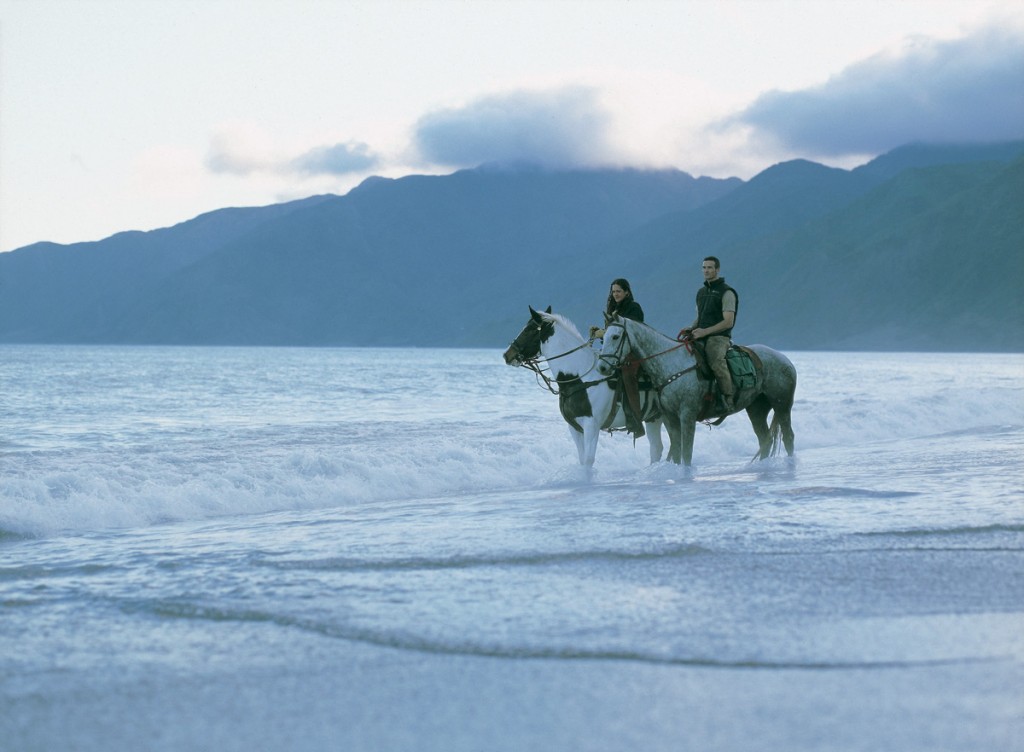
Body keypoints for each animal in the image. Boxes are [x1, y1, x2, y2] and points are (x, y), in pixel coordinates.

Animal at [503, 307, 663, 465]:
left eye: (528, 330)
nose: (507, 355)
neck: (579, 377)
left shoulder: (591, 426)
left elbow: (588, 460)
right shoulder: (575, 427)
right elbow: (582, 459)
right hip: (653, 418)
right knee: (656, 448)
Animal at [598, 315, 794, 469]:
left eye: (615, 336)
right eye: (603, 337)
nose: (602, 367)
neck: (671, 364)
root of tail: (784, 358)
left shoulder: (687, 415)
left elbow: (686, 453)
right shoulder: (670, 417)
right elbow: (677, 452)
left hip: (782, 405)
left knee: (788, 437)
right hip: (756, 408)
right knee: (765, 439)